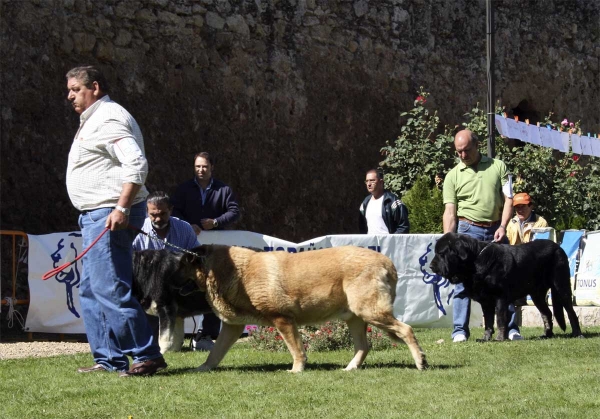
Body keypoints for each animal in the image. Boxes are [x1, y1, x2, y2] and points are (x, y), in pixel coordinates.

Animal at [171, 244, 426, 372]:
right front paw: (203, 368)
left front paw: (297, 369)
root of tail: (388, 263)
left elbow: (296, 350)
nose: (169, 277)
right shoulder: (232, 328)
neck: (233, 270)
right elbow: (216, 352)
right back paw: (350, 368)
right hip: (355, 318)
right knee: (363, 346)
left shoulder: (282, 320)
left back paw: (420, 362)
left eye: (182, 264)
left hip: (370, 312)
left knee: (406, 330)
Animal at [428, 233, 584, 342]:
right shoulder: (486, 302)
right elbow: (488, 322)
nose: (431, 266)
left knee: (571, 312)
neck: (475, 261)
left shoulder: (500, 298)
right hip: (537, 295)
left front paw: (499, 338)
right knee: (547, 313)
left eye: (441, 253)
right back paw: (547, 335)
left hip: (561, 286)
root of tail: (558, 246)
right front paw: (486, 338)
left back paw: (577, 333)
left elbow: (500, 319)